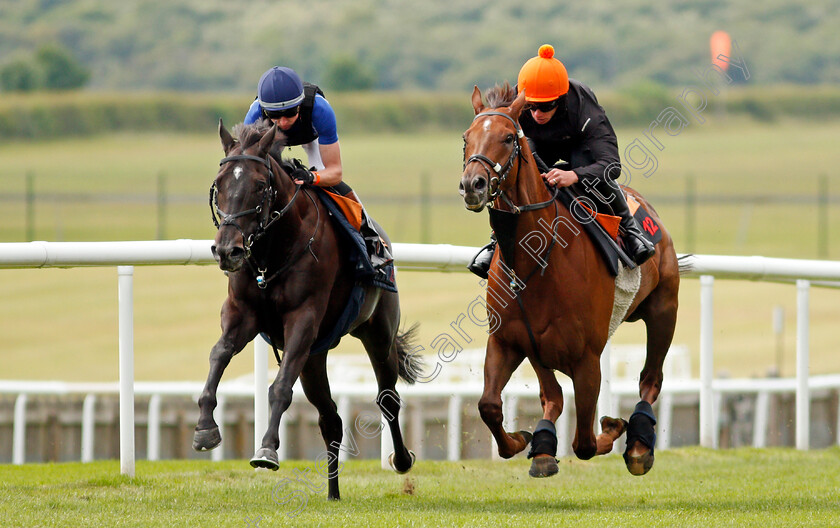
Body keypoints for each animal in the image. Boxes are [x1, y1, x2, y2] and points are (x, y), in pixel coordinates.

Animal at [195, 119, 420, 500]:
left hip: (378, 332)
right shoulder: (242, 313)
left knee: (387, 398)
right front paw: (205, 427)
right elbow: (218, 354)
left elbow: (280, 387)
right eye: (219, 185)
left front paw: (267, 449)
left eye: (259, 185)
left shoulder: (303, 318)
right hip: (314, 357)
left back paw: (401, 460)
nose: (228, 251)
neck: (272, 252)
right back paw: (333, 492)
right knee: (331, 418)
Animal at [460, 84, 684, 476]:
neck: (537, 260)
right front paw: (525, 441)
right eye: (466, 138)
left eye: (507, 137)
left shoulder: (587, 358)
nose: (473, 184)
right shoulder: (512, 340)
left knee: (650, 379)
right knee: (552, 398)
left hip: (663, 310)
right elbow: (491, 405)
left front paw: (614, 427)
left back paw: (640, 444)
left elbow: (585, 442)